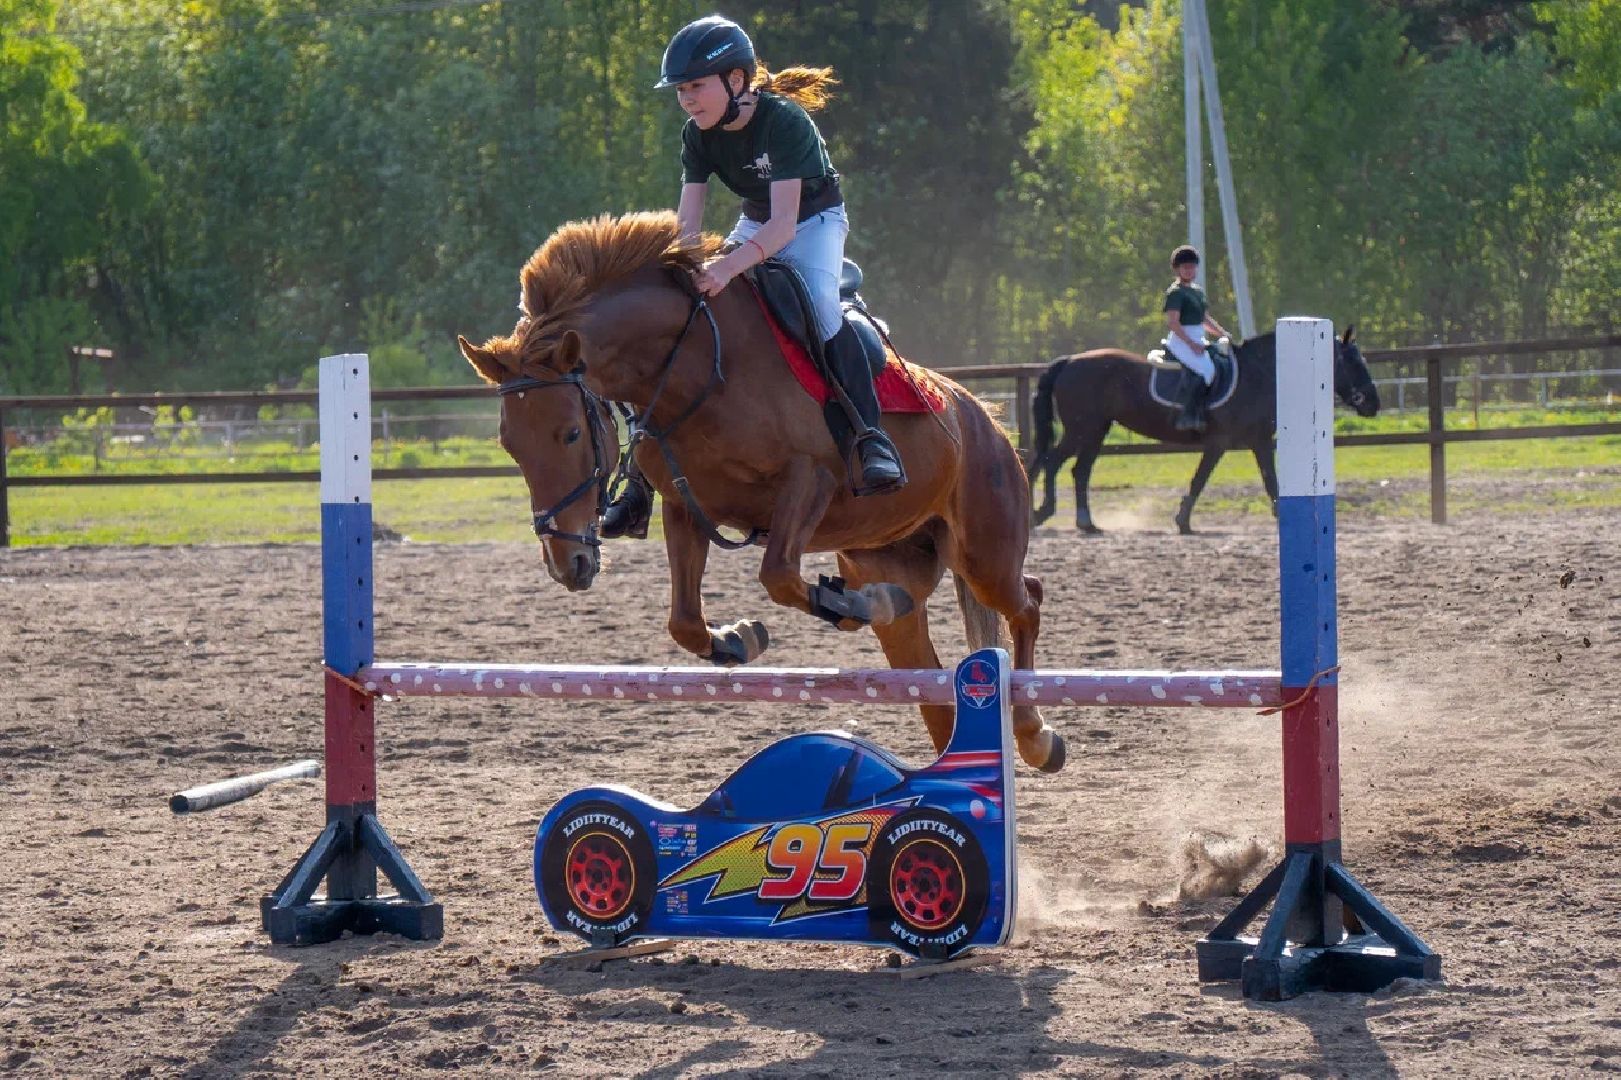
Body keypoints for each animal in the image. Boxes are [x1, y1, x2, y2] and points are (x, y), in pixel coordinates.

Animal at [457, 211, 1066, 772]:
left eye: (570, 433)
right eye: (510, 445)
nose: (568, 564)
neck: (695, 364)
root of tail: (982, 416)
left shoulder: (808, 480)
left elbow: (777, 574)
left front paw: (848, 606)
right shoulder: (685, 504)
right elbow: (685, 621)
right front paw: (739, 639)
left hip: (984, 555)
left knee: (1028, 599)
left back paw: (1035, 735)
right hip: (889, 555)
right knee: (927, 669)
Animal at [1027, 328, 1379, 534]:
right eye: (1353, 362)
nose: (1373, 403)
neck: (1260, 376)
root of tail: (1071, 360)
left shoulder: (1259, 441)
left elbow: (1268, 480)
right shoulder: (1223, 442)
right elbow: (1202, 478)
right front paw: (1183, 521)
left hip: (1096, 430)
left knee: (1080, 471)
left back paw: (1086, 523)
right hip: (1081, 429)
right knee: (1053, 462)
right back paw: (1041, 513)